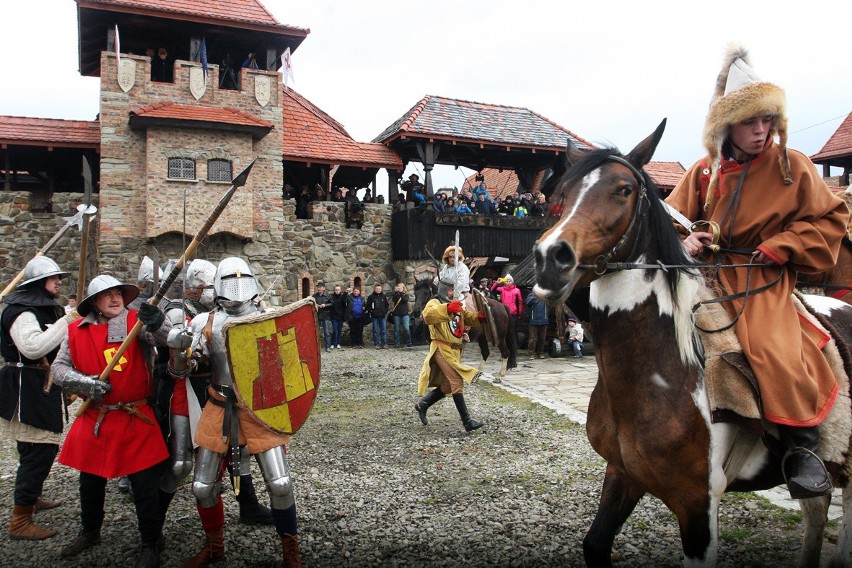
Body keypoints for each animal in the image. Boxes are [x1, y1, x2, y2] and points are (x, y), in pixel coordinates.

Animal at [532, 118, 852, 564]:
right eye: (562, 195)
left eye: (623, 190)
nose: (550, 259)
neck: (659, 370)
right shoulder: (623, 473)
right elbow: (595, 543)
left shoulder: (698, 507)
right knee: (817, 511)